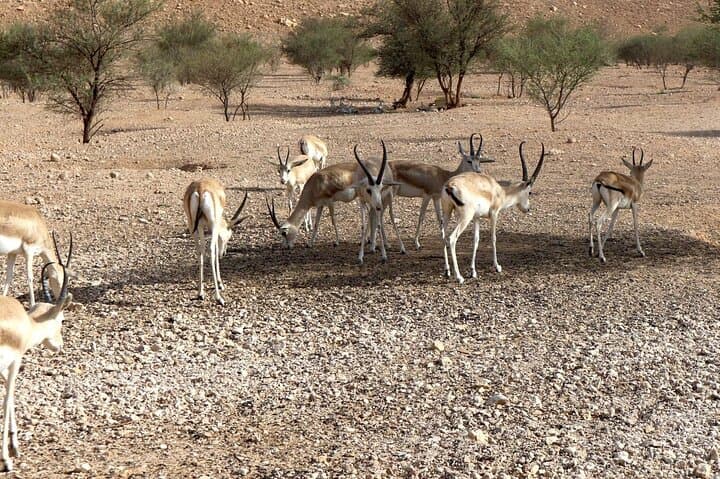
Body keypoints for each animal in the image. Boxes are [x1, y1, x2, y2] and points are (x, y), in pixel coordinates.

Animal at [0, 233, 72, 472]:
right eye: (61, 320)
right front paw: (7, 458)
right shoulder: (14, 362)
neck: (27, 323)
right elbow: (8, 399)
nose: (60, 345)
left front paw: (14, 445)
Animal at [442, 141, 545, 283]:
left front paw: (473, 271)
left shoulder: (477, 217)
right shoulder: (494, 214)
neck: (500, 191)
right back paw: (459, 277)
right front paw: (497, 267)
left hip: (447, 213)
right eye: (530, 192)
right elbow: (493, 238)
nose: (527, 209)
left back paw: (447, 272)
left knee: (442, 236)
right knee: (452, 238)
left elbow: (476, 240)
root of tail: (450, 185)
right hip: (465, 217)